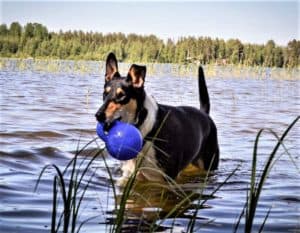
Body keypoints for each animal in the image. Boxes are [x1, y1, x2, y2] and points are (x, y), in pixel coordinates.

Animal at [96, 53, 220, 186]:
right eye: (105, 93)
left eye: (122, 95)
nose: (98, 115)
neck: (146, 131)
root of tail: (204, 113)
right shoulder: (130, 174)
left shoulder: (166, 178)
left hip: (209, 163)